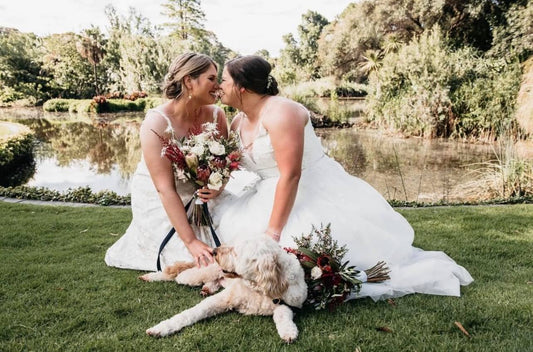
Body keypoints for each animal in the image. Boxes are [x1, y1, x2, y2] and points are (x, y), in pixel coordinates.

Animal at [139, 235, 308, 342]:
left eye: (236, 251)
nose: (215, 251)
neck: (257, 288)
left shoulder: (289, 302)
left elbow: (282, 314)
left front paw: (288, 331)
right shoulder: (222, 299)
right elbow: (189, 314)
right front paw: (161, 328)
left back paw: (207, 288)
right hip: (196, 275)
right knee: (175, 275)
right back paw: (151, 276)